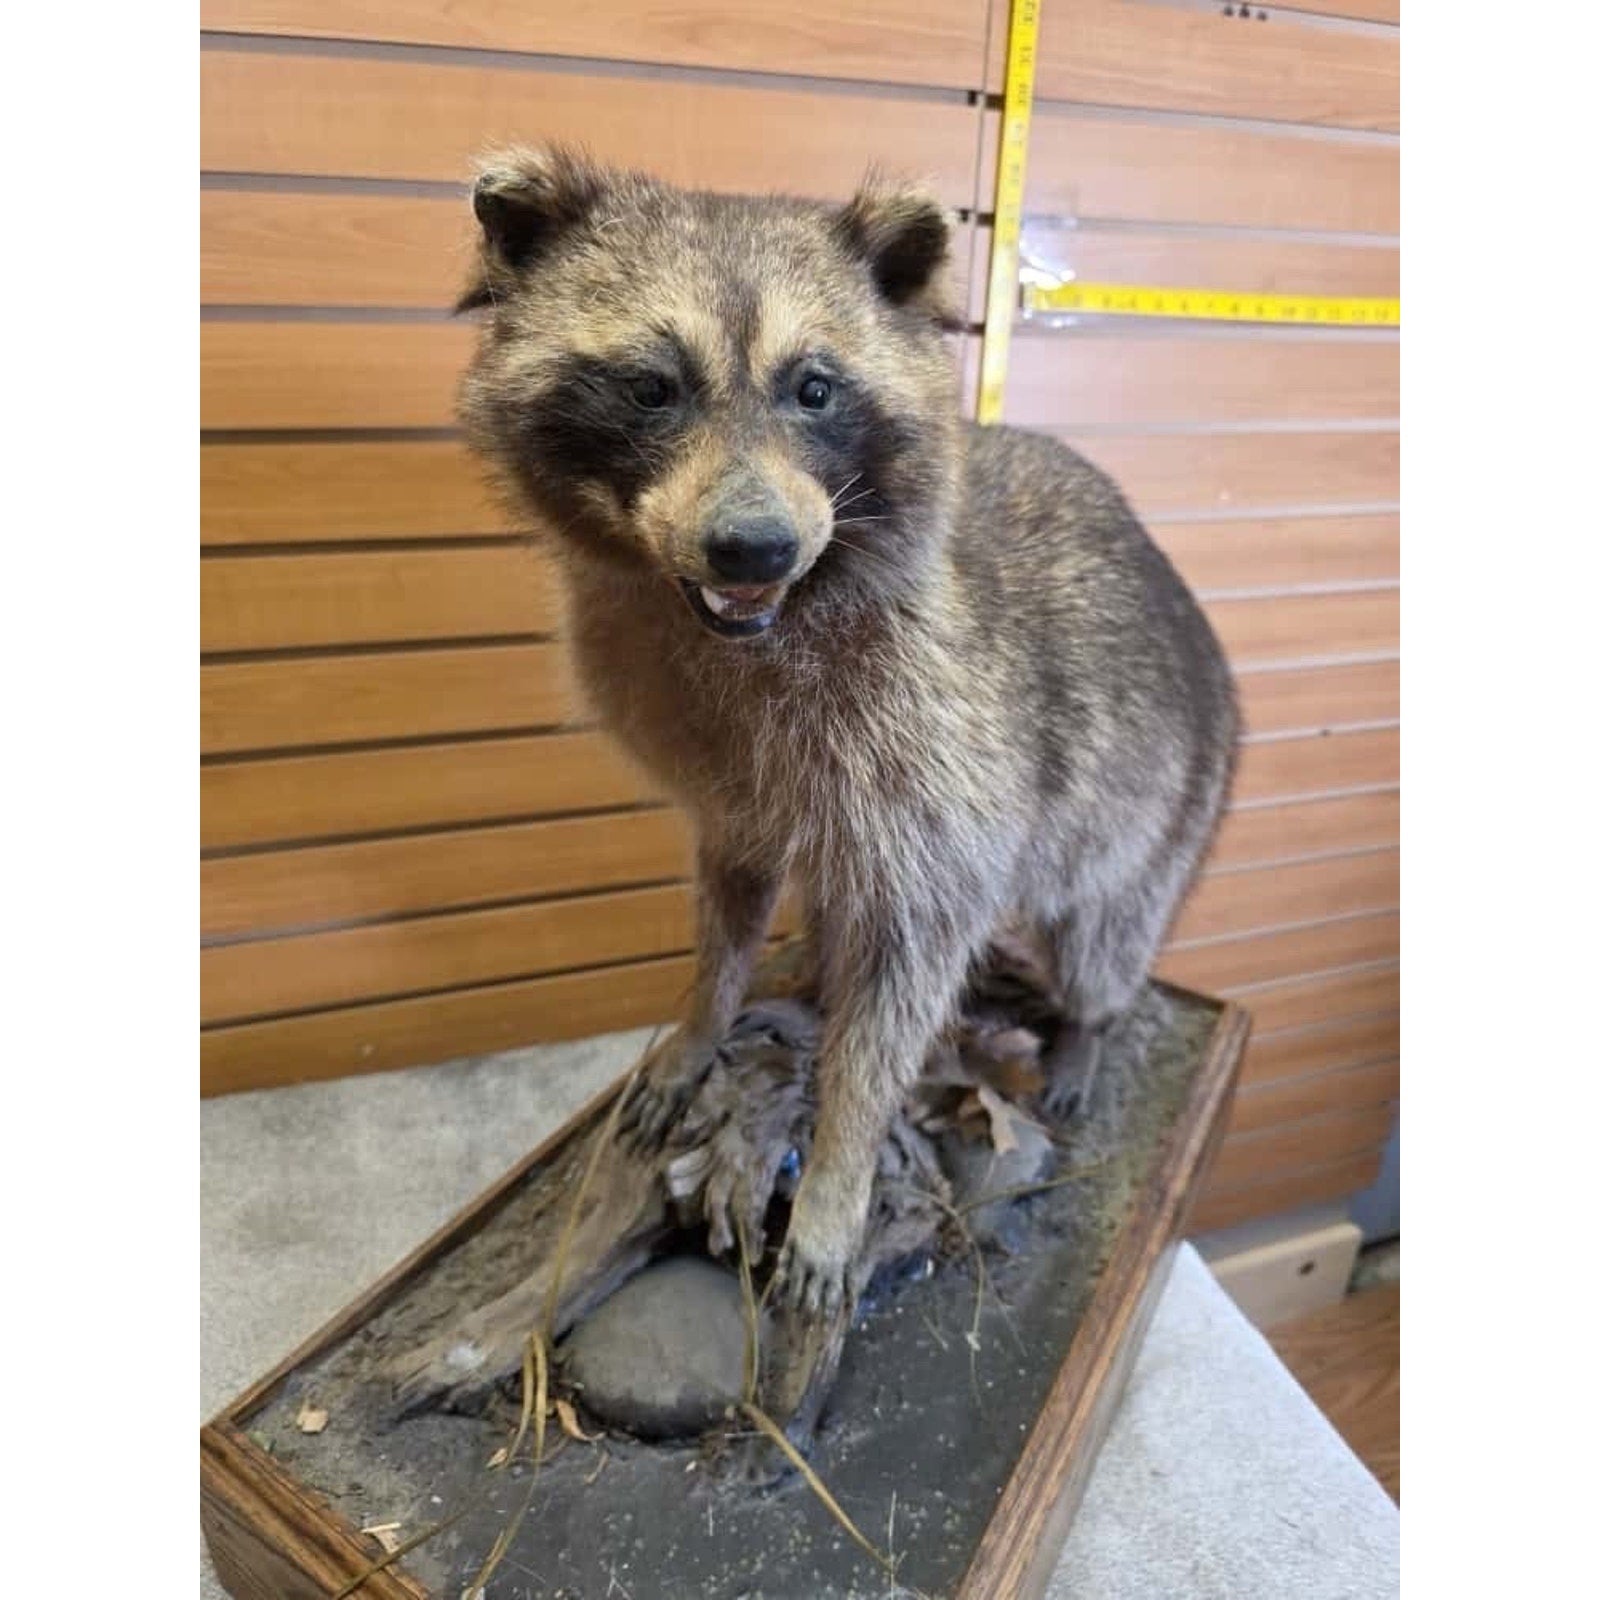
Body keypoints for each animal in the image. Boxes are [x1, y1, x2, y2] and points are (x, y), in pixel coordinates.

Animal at [456, 148, 1239, 1316]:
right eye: (651, 387)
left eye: (814, 389)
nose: (752, 549)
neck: (759, 626)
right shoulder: (724, 779)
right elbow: (729, 907)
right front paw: (703, 1020)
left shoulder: (943, 763)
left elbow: (903, 997)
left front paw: (838, 1172)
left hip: (1167, 800)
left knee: (1105, 932)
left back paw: (1085, 1028)